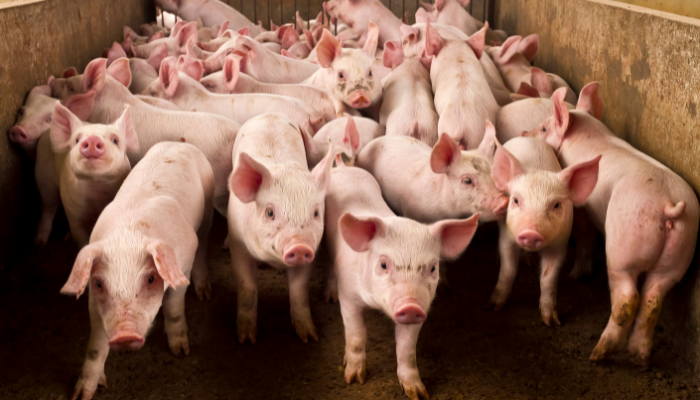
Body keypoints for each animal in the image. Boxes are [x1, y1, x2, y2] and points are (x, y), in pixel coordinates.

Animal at [61, 142, 214, 400]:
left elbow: (173, 308)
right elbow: (96, 345)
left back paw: (205, 294)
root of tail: (179, 143)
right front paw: (82, 394)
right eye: (99, 283)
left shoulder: (181, 268)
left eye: (151, 278)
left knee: (203, 245)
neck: (128, 237)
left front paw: (181, 351)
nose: (125, 334)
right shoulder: (94, 301)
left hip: (208, 207)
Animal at [227, 113, 334, 343]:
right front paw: (246, 340)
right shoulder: (237, 244)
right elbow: (247, 287)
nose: (299, 246)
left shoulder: (313, 251)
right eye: (269, 212)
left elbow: (299, 290)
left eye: (315, 213)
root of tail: (270, 114)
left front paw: (310, 337)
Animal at [324, 160, 479, 400]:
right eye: (383, 265)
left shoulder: (422, 310)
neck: (375, 305)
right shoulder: (349, 297)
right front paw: (354, 380)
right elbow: (356, 335)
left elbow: (407, 349)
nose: (411, 306)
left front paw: (418, 394)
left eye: (432, 267)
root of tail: (344, 166)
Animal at [489, 137, 601, 325]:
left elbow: (548, 279)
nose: (531, 233)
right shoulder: (508, 236)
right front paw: (494, 307)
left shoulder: (560, 244)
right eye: (516, 200)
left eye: (556, 205)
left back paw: (531, 262)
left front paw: (552, 322)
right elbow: (508, 270)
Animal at [524, 84, 700, 367]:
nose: (523, 132)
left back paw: (598, 354)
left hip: (624, 245)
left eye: (543, 128)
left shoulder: (581, 206)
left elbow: (585, 235)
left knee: (628, 297)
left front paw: (576, 274)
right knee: (653, 298)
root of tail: (668, 204)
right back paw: (639, 359)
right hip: (679, 253)